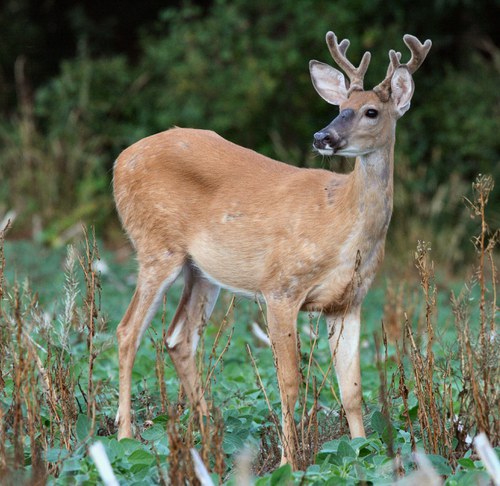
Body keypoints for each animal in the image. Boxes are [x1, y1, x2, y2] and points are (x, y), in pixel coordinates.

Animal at [112, 31, 430, 470]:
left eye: (370, 112)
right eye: (339, 108)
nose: (322, 137)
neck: (341, 222)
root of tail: (119, 161)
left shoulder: (349, 301)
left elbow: (351, 389)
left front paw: (362, 453)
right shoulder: (281, 287)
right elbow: (290, 381)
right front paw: (287, 463)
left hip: (202, 270)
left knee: (178, 338)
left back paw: (210, 437)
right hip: (157, 247)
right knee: (129, 331)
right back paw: (125, 437)